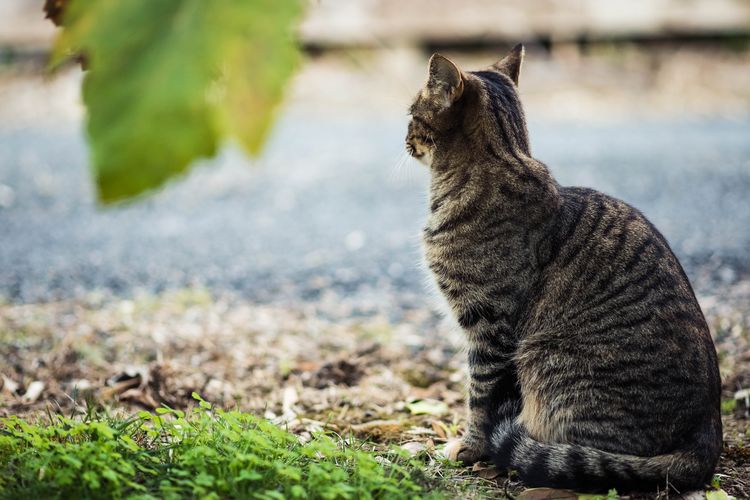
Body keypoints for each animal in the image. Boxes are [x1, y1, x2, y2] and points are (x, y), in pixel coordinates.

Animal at [408, 45, 724, 494]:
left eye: (411, 114)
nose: (404, 139)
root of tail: (708, 438)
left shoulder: (489, 327)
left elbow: (480, 396)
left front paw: (470, 448)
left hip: (545, 361)